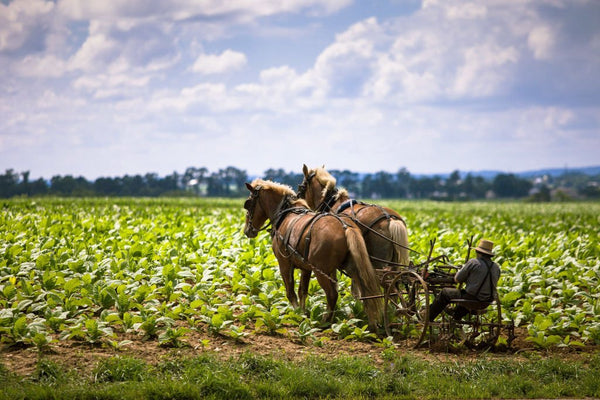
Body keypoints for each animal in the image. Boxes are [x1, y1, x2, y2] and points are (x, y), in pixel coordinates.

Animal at [241, 180, 382, 330]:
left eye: (248, 203)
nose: (247, 231)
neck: (285, 213)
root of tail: (345, 227)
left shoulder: (284, 263)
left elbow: (290, 292)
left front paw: (297, 313)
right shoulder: (305, 267)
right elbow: (302, 291)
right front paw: (303, 314)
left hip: (321, 271)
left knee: (332, 294)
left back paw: (325, 321)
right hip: (352, 268)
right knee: (366, 293)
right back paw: (372, 324)